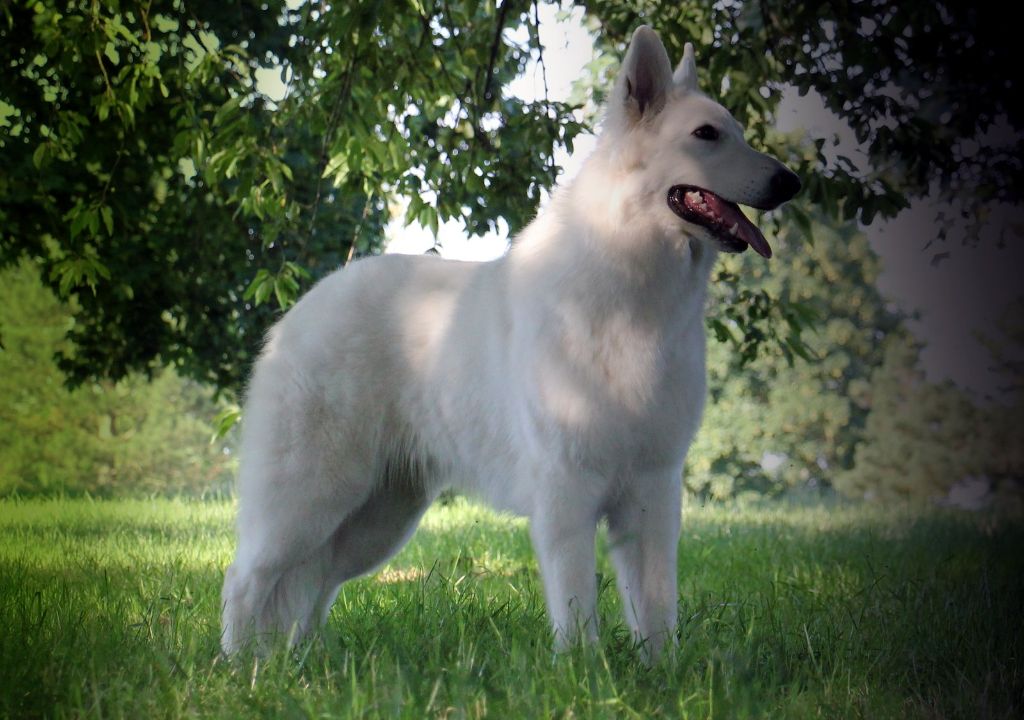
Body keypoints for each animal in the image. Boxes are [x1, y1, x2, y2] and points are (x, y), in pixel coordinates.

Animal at [222, 26, 798, 659]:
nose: (791, 182)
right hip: (309, 497)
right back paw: (238, 668)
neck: (631, 292)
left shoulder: (653, 493)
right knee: (247, 579)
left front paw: (662, 672)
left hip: (374, 520)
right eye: (706, 135)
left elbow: (657, 610)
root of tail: (300, 309)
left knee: (312, 584)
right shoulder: (566, 495)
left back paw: (297, 664)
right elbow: (578, 609)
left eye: (735, 131)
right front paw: (584, 671)